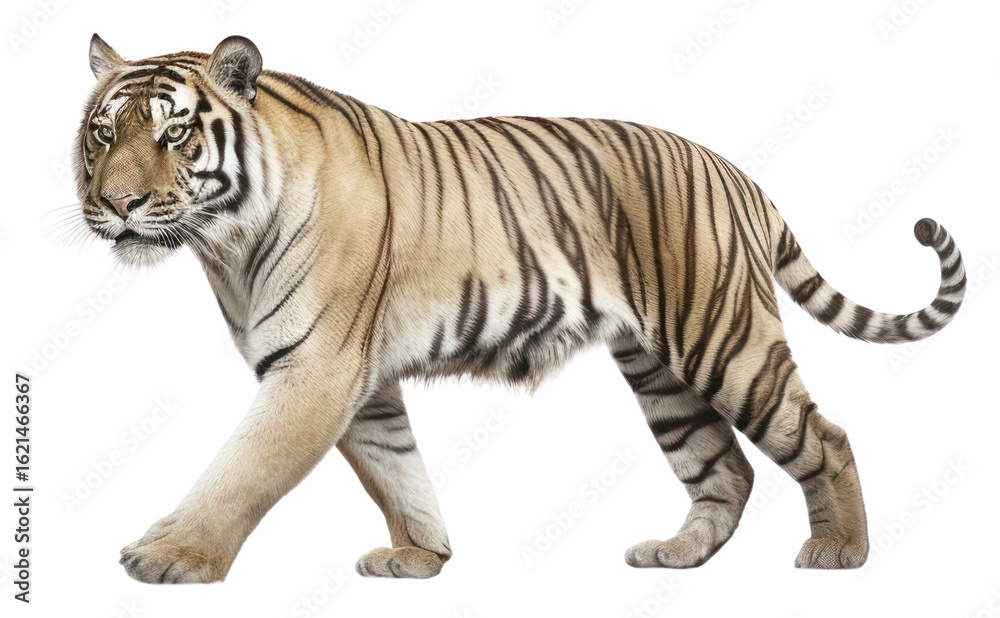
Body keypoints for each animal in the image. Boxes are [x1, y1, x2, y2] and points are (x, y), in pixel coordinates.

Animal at [76, 34, 967, 584]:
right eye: (101, 134)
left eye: (175, 134)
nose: (116, 205)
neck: (223, 242)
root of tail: (736, 172)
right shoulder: (356, 377)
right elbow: (395, 469)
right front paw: (421, 557)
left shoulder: (316, 368)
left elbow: (244, 467)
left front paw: (170, 557)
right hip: (662, 372)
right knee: (725, 470)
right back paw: (676, 556)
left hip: (726, 339)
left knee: (824, 436)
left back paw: (839, 551)